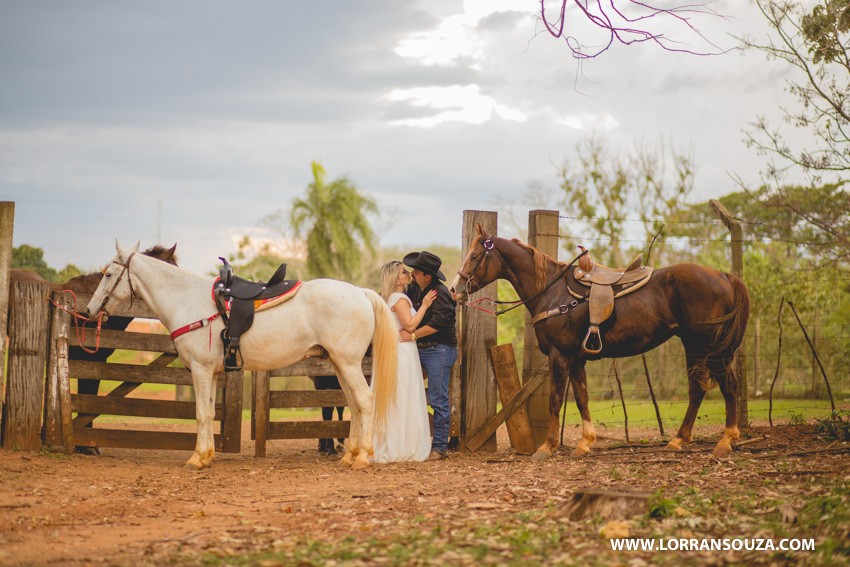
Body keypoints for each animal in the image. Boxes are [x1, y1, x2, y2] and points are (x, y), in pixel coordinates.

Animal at [84, 242, 396, 468]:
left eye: (108, 275)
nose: (89, 309)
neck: (190, 301)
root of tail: (361, 293)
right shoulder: (210, 372)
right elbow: (210, 412)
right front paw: (206, 455)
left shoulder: (200, 369)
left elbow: (201, 413)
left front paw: (196, 459)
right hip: (340, 365)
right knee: (354, 404)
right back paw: (349, 456)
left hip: (348, 364)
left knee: (364, 401)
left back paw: (363, 457)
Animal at [448, 225, 744, 462]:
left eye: (475, 256)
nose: (454, 289)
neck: (554, 293)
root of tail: (724, 275)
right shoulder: (577, 359)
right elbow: (582, 399)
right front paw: (585, 443)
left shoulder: (559, 355)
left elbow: (556, 400)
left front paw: (547, 447)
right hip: (696, 348)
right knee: (698, 391)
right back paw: (679, 439)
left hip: (707, 348)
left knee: (726, 387)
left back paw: (726, 440)